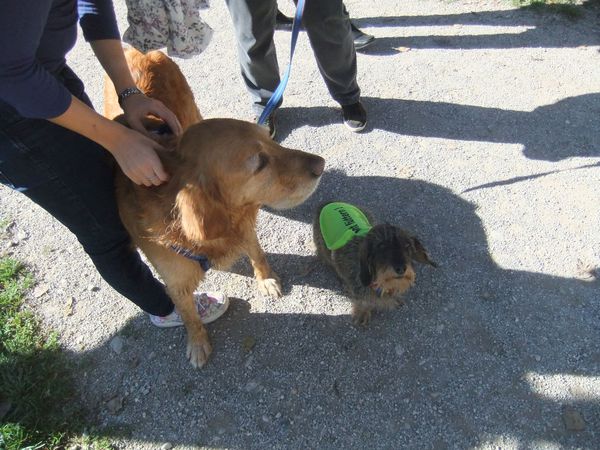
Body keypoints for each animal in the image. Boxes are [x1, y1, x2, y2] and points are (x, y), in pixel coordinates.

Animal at [105, 48, 326, 370]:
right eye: (260, 163)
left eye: (270, 140)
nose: (321, 164)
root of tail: (139, 50)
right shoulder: (175, 280)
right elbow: (188, 315)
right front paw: (197, 342)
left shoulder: (244, 225)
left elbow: (257, 253)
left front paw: (266, 279)